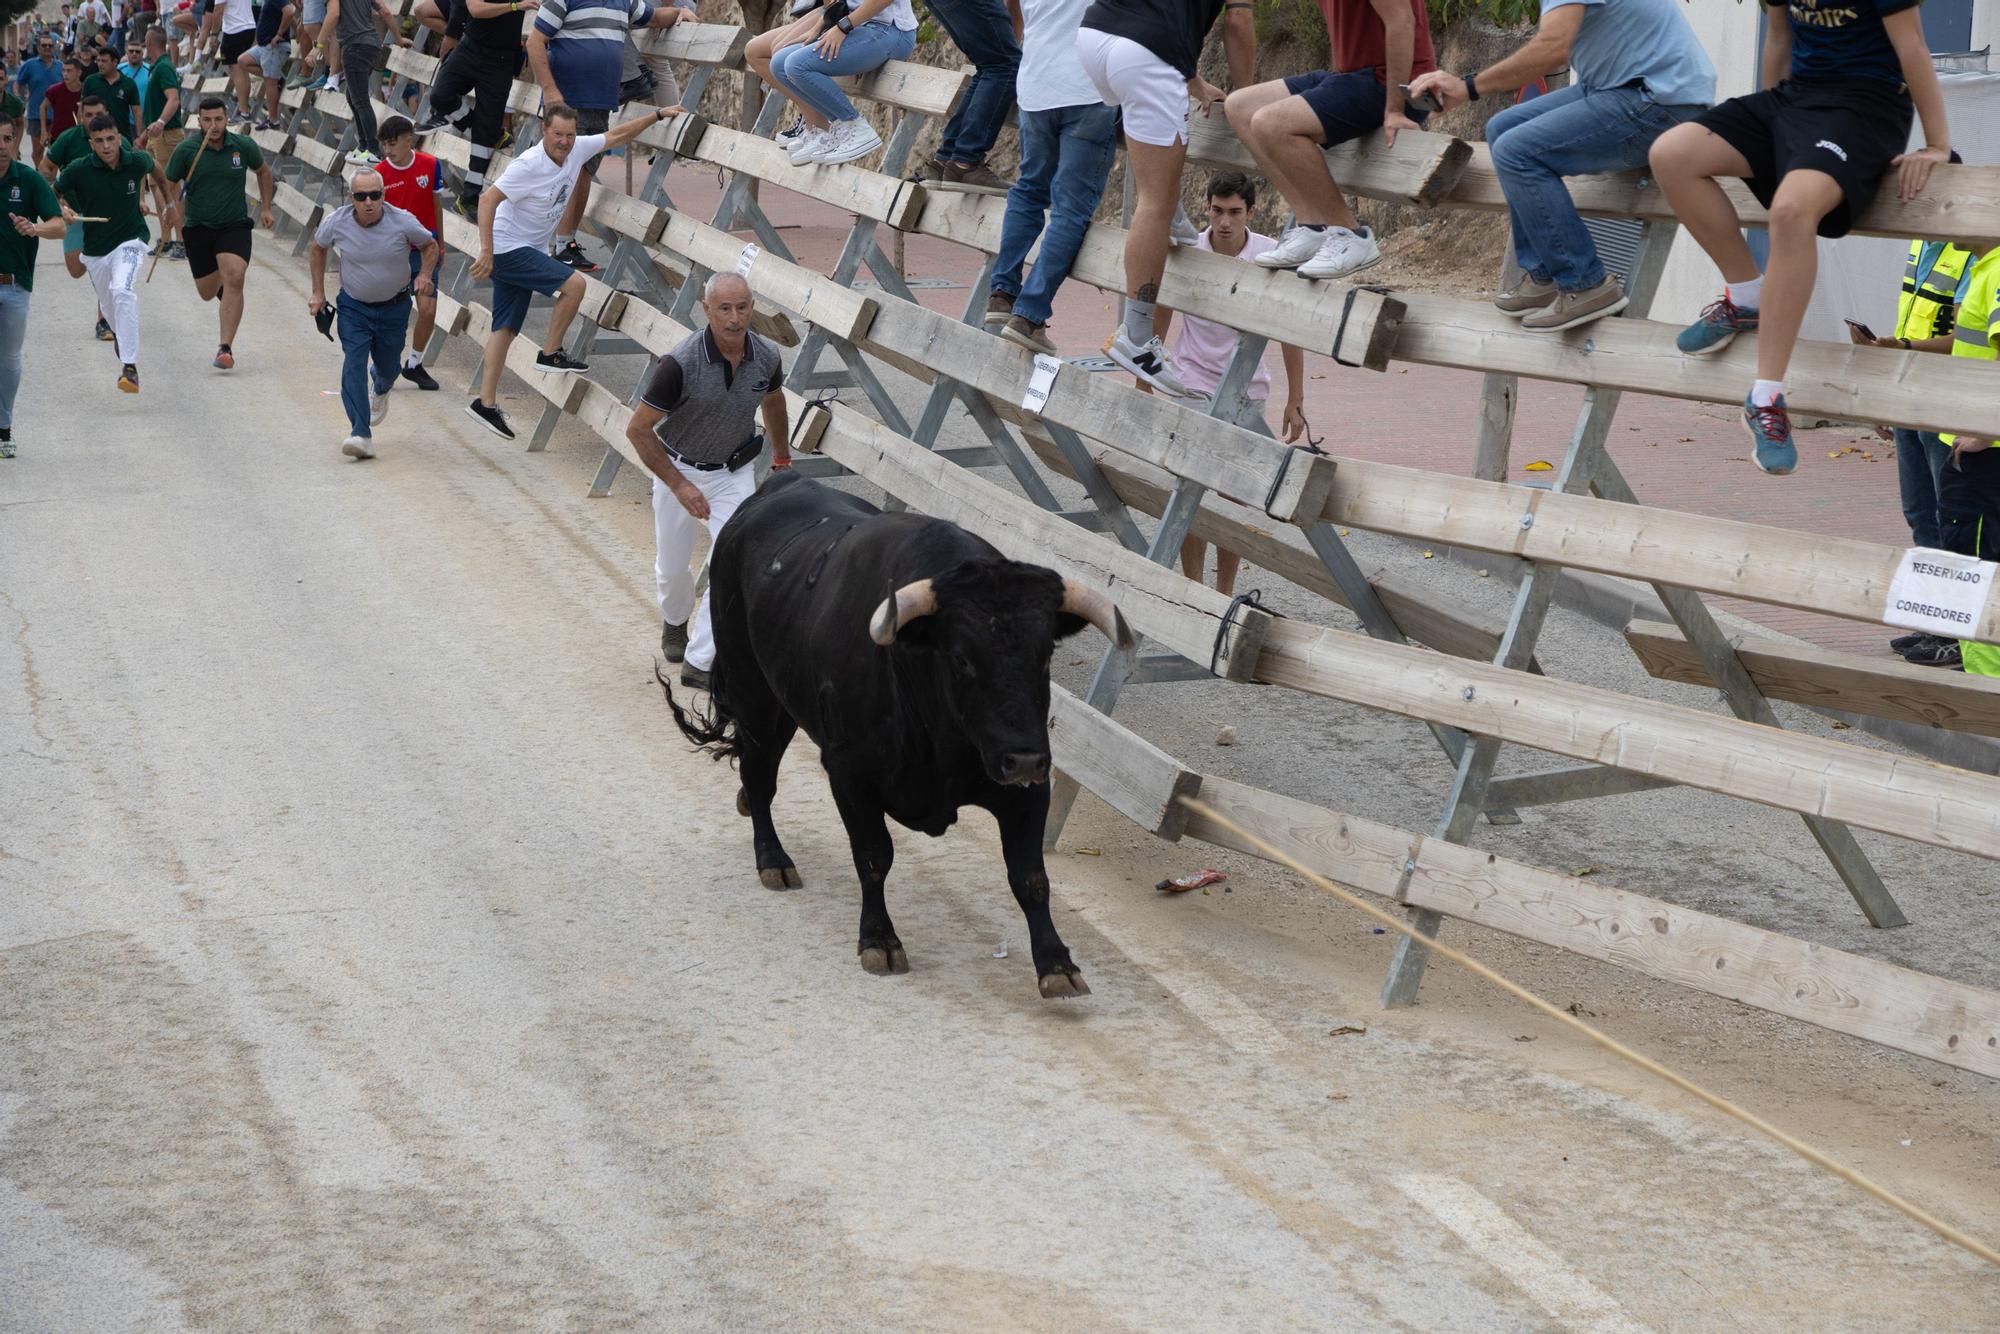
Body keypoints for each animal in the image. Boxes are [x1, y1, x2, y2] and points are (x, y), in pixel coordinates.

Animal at [664, 474, 1136, 996]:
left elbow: (1030, 877)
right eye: (961, 658)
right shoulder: (850, 773)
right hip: (754, 693)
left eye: (1046, 655)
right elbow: (874, 857)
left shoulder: (1028, 787)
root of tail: (781, 483)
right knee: (760, 772)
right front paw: (879, 939)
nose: (1024, 759)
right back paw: (772, 857)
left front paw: (1056, 962)